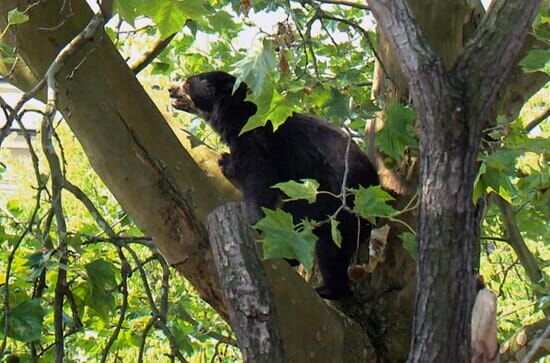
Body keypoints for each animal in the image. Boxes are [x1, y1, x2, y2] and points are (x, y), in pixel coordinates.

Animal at [170, 72, 382, 302]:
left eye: (188, 83)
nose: (170, 89)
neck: (234, 112)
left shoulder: (257, 139)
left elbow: (260, 183)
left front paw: (254, 221)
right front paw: (226, 161)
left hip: (334, 203)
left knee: (326, 245)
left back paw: (326, 288)